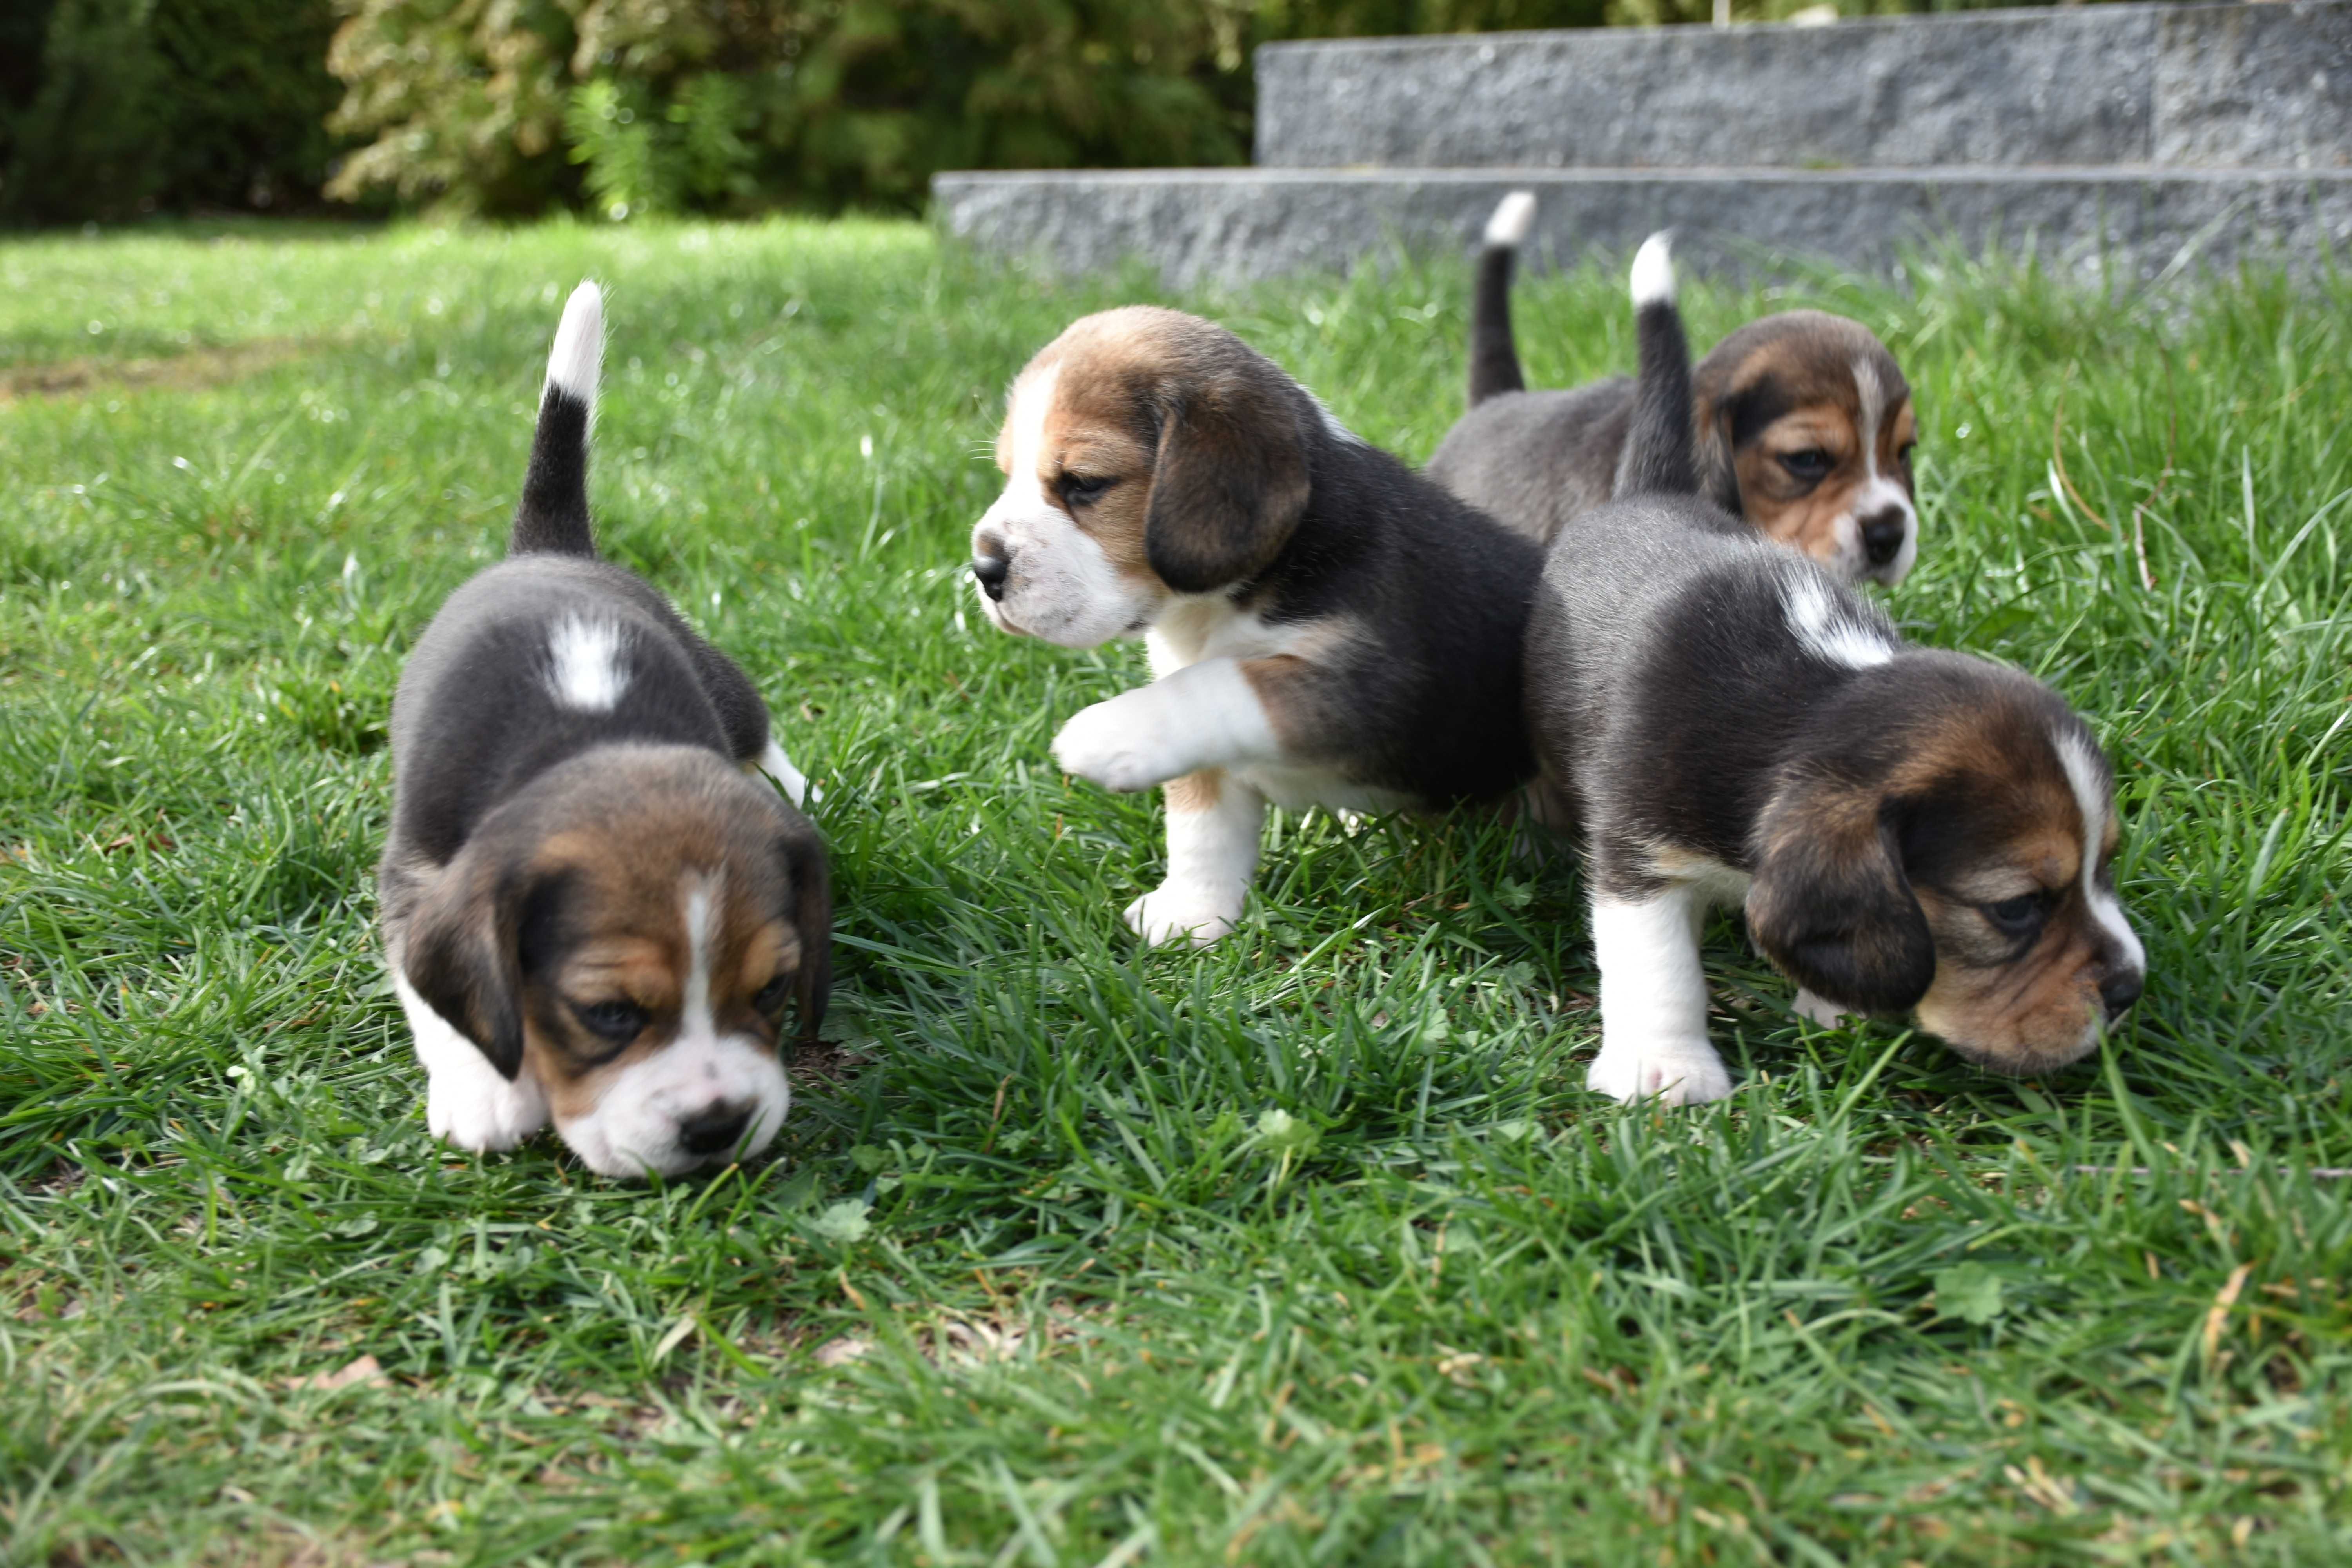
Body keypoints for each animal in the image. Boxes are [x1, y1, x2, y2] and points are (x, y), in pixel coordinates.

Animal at [381, 282, 833, 1175]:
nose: (719, 1125)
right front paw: (487, 1093)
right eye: (610, 1013)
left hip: (723, 681)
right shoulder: (411, 875)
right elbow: (438, 999)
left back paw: (798, 790)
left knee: (760, 732)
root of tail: (548, 551)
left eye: (771, 989)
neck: (592, 736)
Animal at [969, 303, 1543, 945]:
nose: (984, 570)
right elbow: (1201, 825)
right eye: (1007, 474)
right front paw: (1190, 915)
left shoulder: (1377, 685)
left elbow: (1222, 683)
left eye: (1086, 483)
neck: (1214, 607)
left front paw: (1108, 733)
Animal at [1524, 240, 2154, 1109]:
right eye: (2017, 909)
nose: (2131, 988)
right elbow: (1659, 966)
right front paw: (1666, 1069)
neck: (1810, 694)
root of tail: (1648, 492)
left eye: (2107, 864)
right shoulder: (1635, 849)